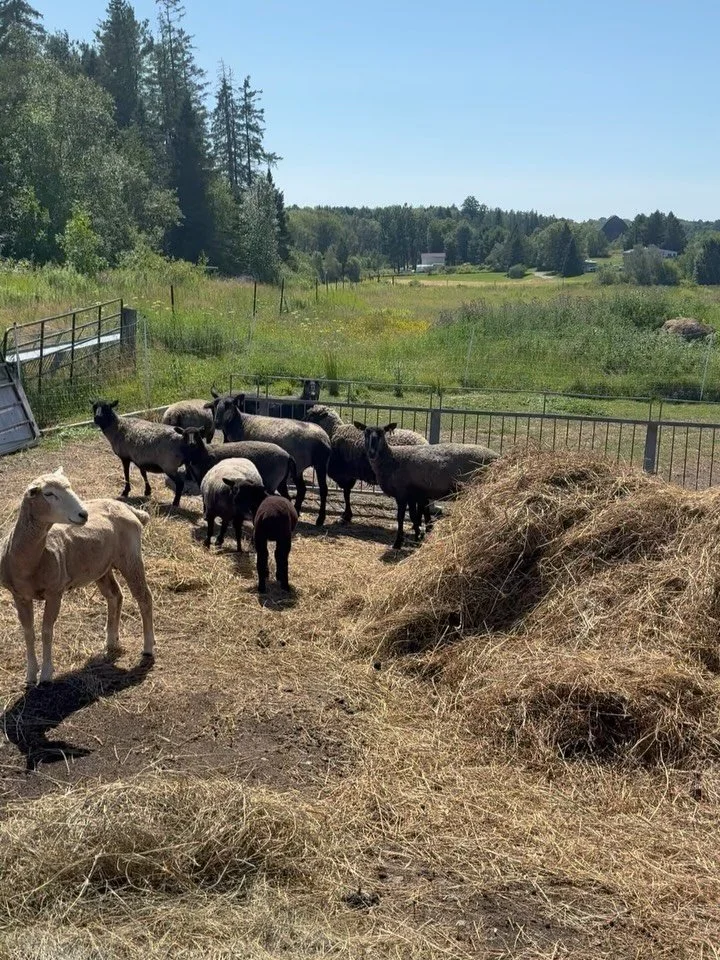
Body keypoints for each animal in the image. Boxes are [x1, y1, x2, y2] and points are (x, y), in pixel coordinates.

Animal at [0, 467, 155, 686]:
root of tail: (129, 509)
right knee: (115, 596)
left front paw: (46, 674)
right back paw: (111, 640)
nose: (84, 514)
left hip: (130, 558)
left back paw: (148, 647)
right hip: (101, 566)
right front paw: (30, 674)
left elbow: (46, 632)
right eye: (48, 494)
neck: (29, 562)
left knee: (144, 598)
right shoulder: (19, 595)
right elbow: (28, 632)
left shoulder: (55, 593)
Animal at [209, 392, 331, 526]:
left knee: (323, 490)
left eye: (229, 405)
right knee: (302, 489)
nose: (217, 423)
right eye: (215, 404)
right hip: (299, 467)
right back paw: (297, 511)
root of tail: (325, 438)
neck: (241, 423)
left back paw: (320, 519)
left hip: (320, 464)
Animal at [357, 422, 499, 549]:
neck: (392, 458)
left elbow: (401, 517)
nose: (371, 453)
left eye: (382, 433)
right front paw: (418, 536)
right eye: (365, 433)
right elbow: (414, 516)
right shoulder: (412, 495)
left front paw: (398, 543)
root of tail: (497, 456)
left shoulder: (401, 493)